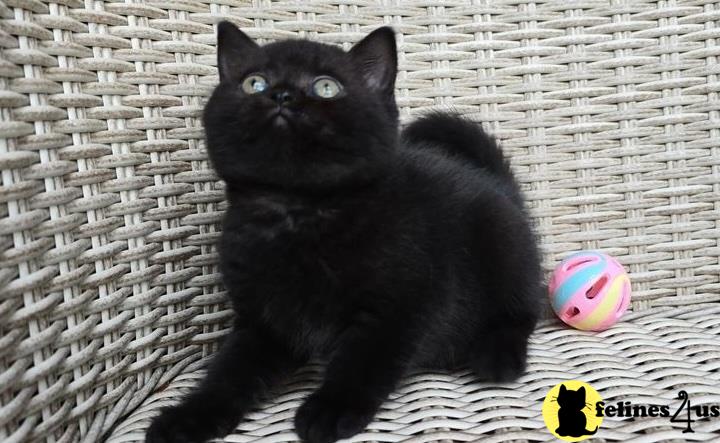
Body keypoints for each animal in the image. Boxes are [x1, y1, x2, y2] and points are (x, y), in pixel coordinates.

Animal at [146, 21, 540, 443]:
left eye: (326, 87)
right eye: (254, 82)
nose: (282, 95)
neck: (298, 211)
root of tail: (498, 186)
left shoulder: (403, 304)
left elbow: (362, 359)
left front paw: (330, 408)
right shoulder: (260, 319)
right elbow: (229, 371)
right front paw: (189, 416)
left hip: (503, 239)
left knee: (520, 309)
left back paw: (497, 354)